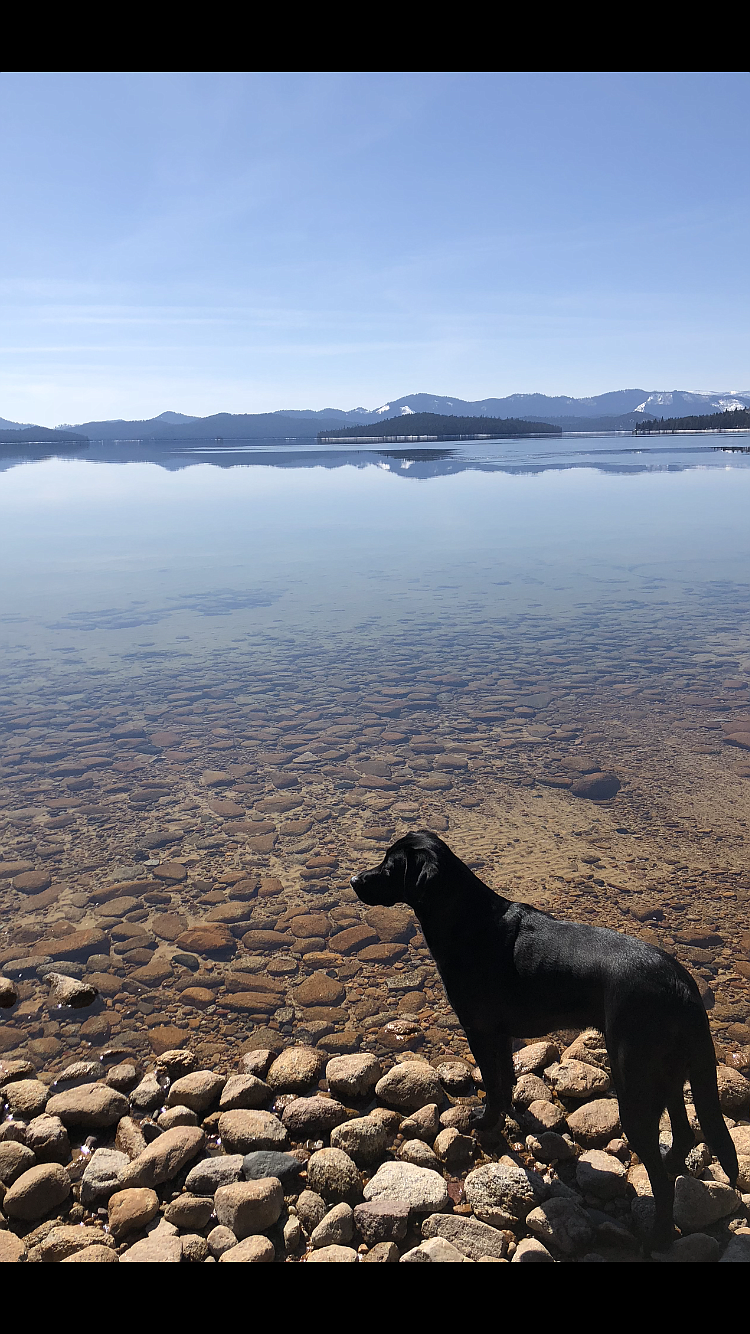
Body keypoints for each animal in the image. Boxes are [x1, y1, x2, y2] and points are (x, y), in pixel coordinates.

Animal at [352, 827, 736, 1243]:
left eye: (391, 867)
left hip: (634, 1080)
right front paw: (509, 1116)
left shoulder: (480, 1032)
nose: (354, 879)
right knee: (682, 1134)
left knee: (661, 1180)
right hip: (668, 1072)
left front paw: (484, 1122)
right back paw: (673, 1167)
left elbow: (493, 1085)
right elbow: (506, 1082)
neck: (467, 921)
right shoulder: (502, 1035)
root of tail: (683, 986)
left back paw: (658, 1237)